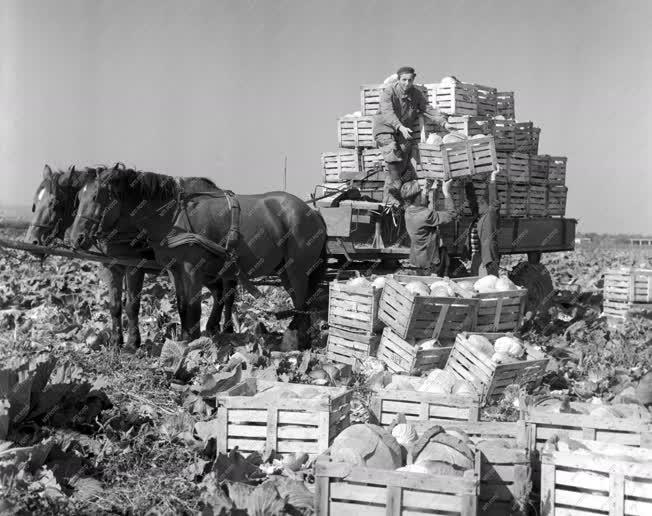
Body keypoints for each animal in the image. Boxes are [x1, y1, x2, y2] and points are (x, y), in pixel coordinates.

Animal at [27, 165, 239, 350]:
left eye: (55, 204)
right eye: (34, 204)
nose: (32, 241)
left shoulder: (134, 268)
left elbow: (132, 305)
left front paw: (132, 343)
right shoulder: (111, 267)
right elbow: (115, 306)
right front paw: (115, 342)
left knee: (228, 294)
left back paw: (227, 328)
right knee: (218, 292)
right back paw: (212, 327)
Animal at [69, 166, 328, 342]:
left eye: (96, 197)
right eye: (77, 197)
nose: (75, 238)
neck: (172, 216)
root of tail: (313, 213)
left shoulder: (180, 268)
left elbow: (187, 307)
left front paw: (185, 341)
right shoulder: (173, 269)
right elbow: (181, 305)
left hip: (296, 269)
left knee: (302, 302)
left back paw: (294, 339)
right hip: (279, 270)